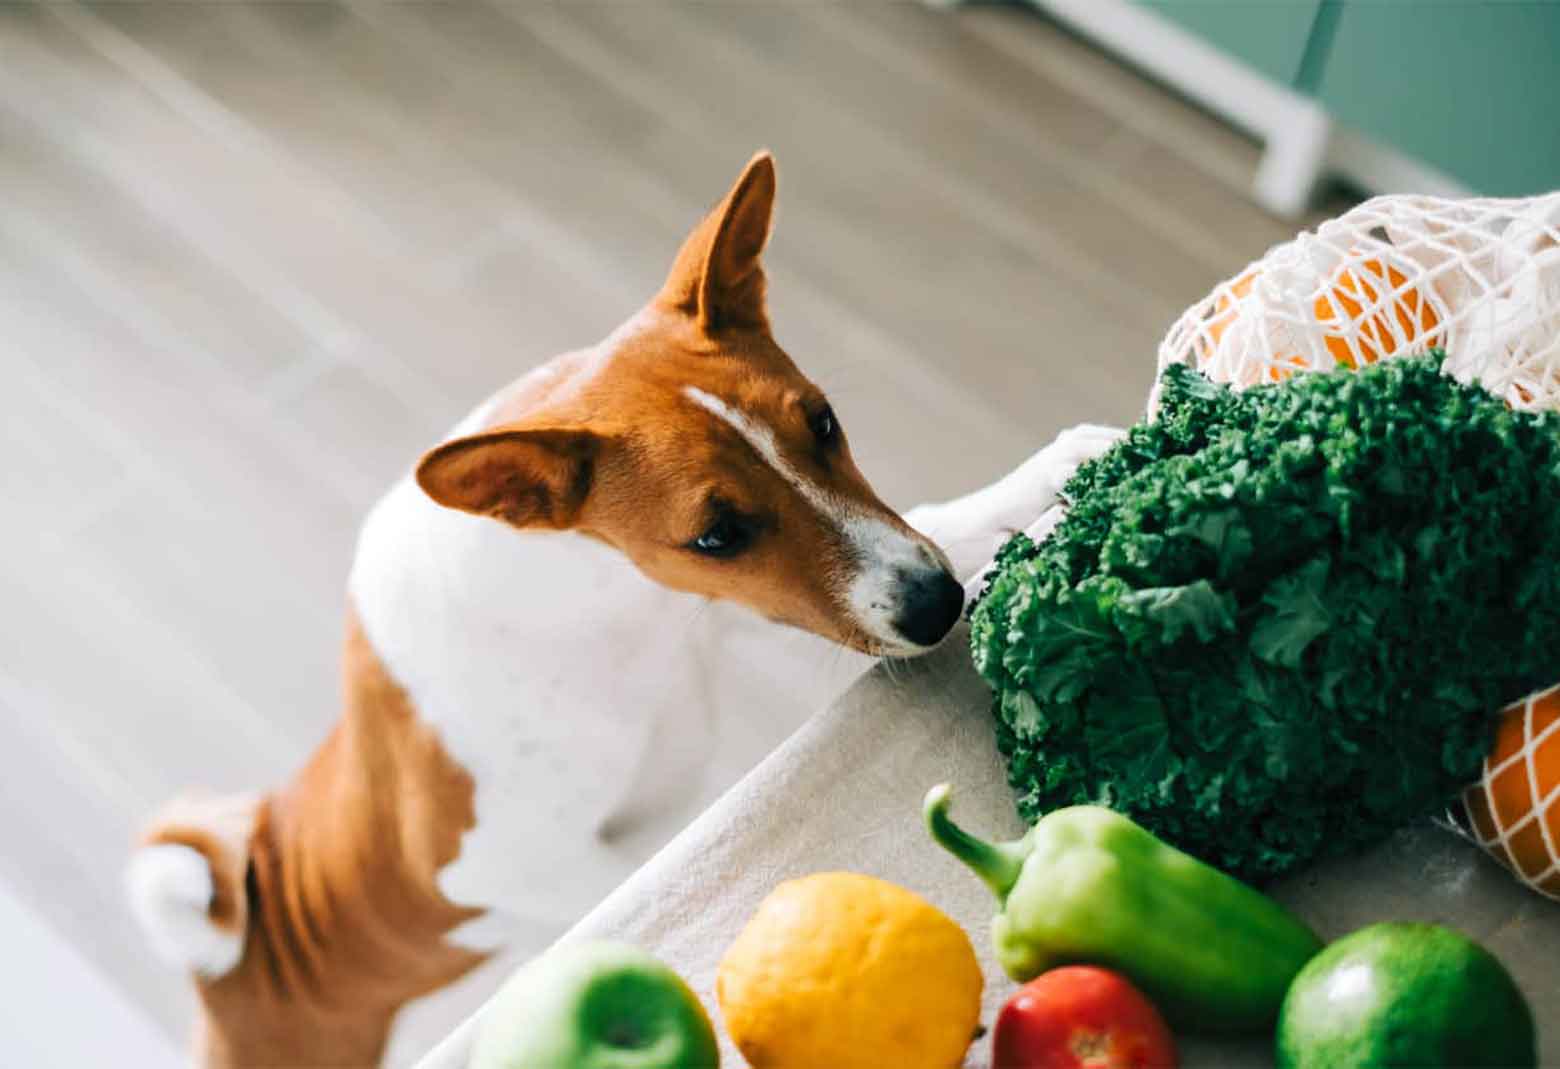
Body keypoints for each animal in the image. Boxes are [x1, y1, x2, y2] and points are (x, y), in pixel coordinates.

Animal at [124, 152, 1123, 1067]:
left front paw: (1051, 473)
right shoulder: (499, 861)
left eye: (824, 422)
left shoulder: (728, 608)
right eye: (716, 534)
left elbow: (935, 520)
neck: (604, 612)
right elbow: (631, 873)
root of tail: (232, 962)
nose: (937, 604)